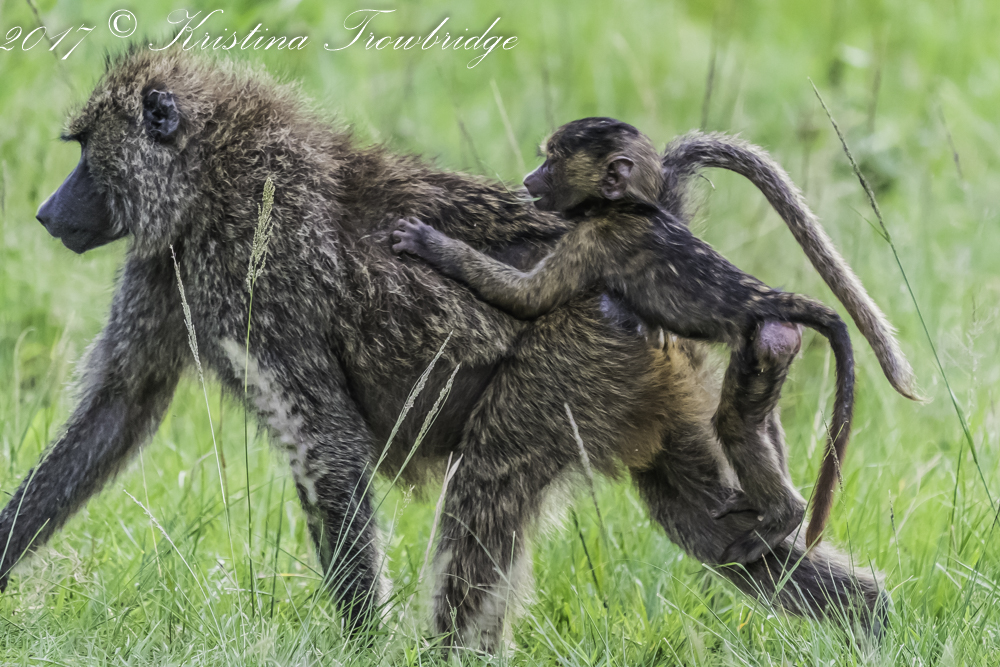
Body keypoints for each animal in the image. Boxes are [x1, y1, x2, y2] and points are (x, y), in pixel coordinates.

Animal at [1, 48, 889, 654]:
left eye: (83, 152)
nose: (46, 212)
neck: (213, 172)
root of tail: (643, 223)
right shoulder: (163, 270)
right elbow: (119, 408)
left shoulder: (262, 278)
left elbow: (330, 448)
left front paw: (361, 647)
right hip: (666, 394)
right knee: (715, 530)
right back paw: (875, 622)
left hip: (565, 370)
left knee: (484, 496)